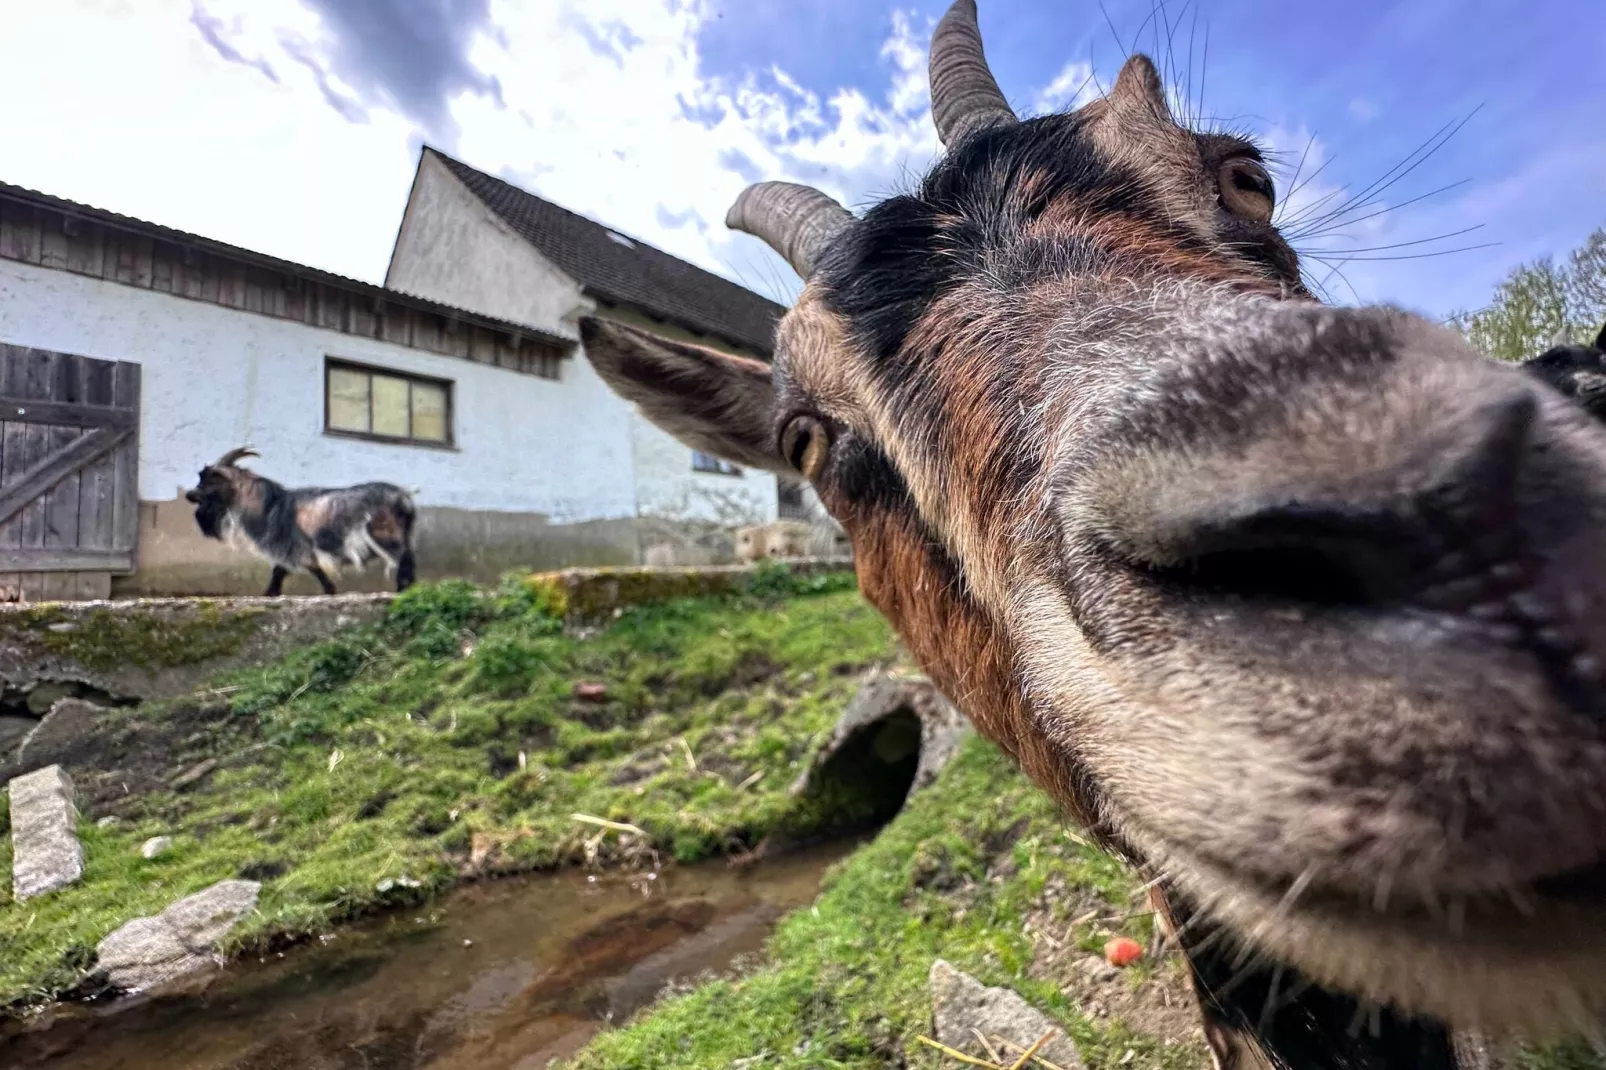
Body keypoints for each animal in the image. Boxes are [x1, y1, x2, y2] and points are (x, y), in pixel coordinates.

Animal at [184, 446, 417, 594]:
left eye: (209, 480)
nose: (189, 494)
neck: (270, 505)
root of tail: (403, 499)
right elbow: (288, 570)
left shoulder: (294, 546)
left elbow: (285, 570)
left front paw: (270, 593)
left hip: (385, 534)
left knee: (403, 561)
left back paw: (403, 590)